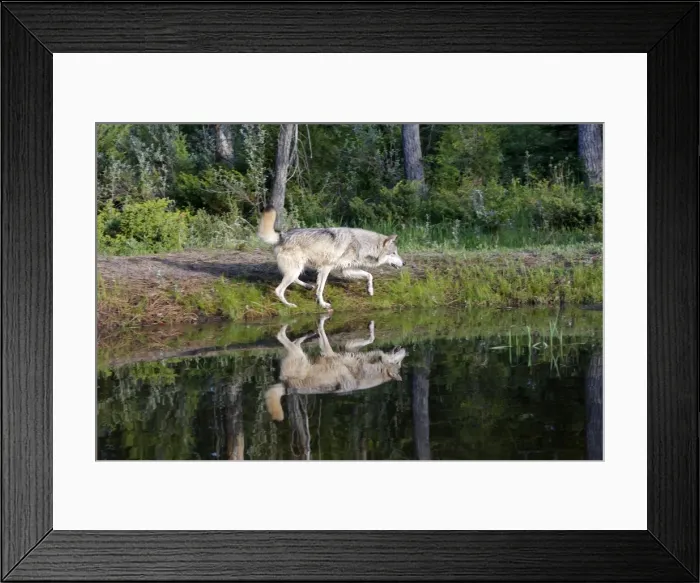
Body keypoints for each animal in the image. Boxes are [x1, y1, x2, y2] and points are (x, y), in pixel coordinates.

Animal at [257, 207, 404, 309]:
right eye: (394, 253)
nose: (404, 263)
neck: (363, 244)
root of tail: (282, 235)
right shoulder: (326, 268)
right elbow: (321, 289)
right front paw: (322, 304)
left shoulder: (346, 270)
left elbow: (369, 275)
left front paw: (370, 291)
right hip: (295, 270)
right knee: (279, 290)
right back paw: (289, 305)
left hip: (297, 269)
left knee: (294, 280)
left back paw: (308, 286)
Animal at [265, 315, 407, 422]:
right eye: (399, 363)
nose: (406, 351)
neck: (367, 371)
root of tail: (286, 386)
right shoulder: (344, 349)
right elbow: (371, 339)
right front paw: (371, 326)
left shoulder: (333, 353)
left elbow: (323, 333)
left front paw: (320, 323)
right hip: (300, 356)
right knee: (287, 338)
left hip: (300, 356)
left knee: (284, 337)